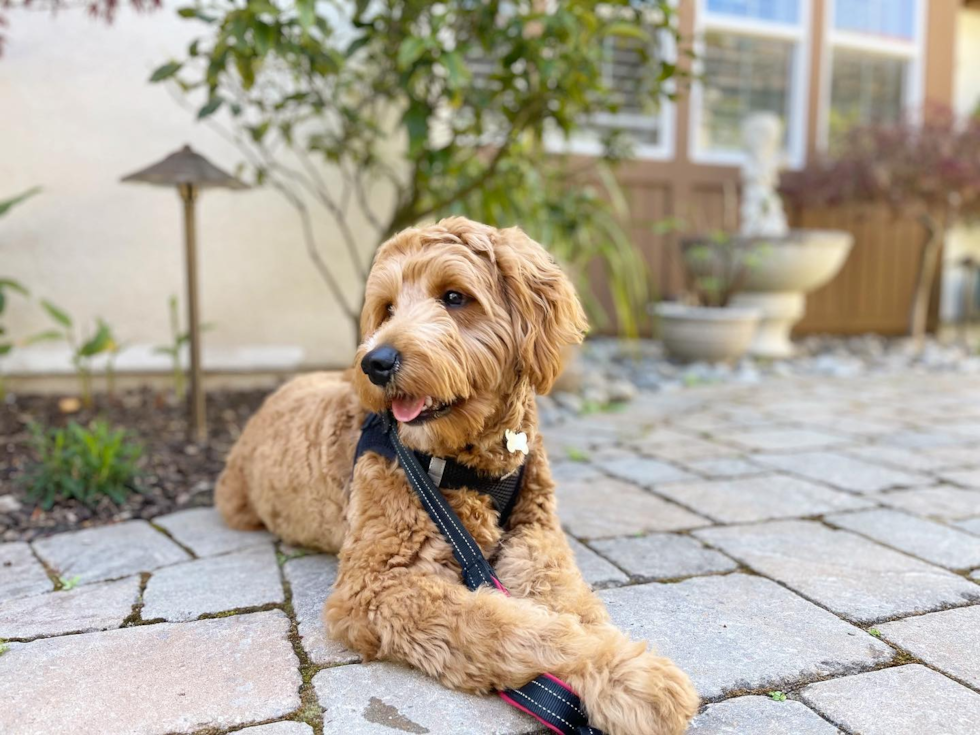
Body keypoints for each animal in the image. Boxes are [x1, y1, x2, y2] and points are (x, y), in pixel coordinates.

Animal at [218, 216, 700, 732]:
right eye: (387, 308)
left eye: (454, 296)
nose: (375, 363)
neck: (468, 464)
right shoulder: (375, 583)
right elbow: (504, 623)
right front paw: (630, 676)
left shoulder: (537, 532)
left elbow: (566, 597)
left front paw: (608, 651)